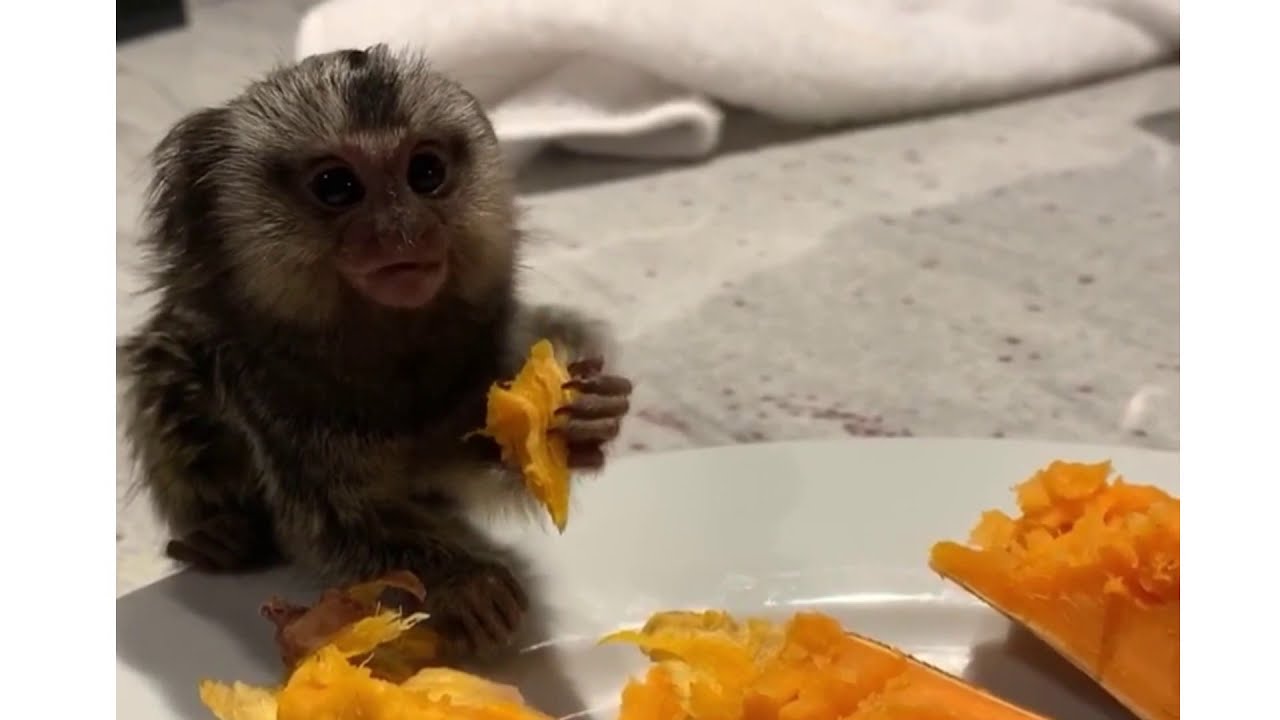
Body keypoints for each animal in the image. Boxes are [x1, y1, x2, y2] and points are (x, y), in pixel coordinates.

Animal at [117, 44, 633, 657]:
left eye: (426, 174)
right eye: (337, 186)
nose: (404, 229)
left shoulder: (485, 357)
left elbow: (467, 466)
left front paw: (585, 424)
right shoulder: (269, 402)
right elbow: (334, 525)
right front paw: (463, 581)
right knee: (166, 373)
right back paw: (217, 533)